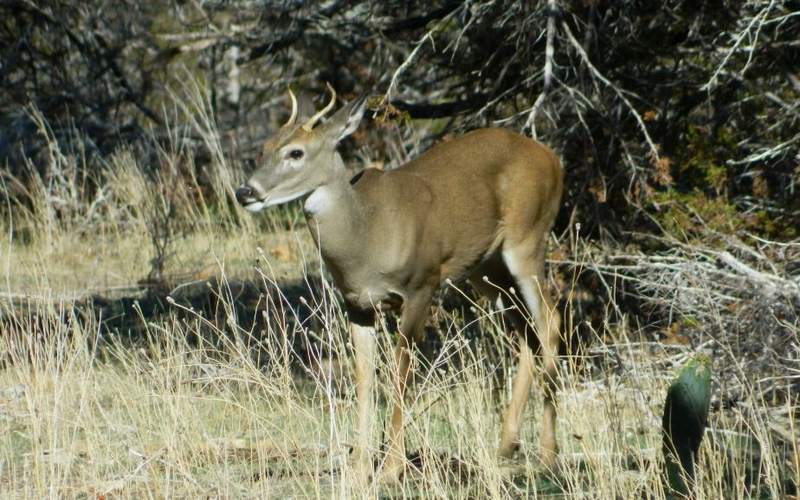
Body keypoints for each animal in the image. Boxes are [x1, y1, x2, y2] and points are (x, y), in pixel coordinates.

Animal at [236, 85, 564, 480]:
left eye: (296, 152)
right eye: (265, 147)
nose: (245, 192)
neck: (366, 236)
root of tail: (552, 158)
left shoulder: (422, 284)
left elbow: (400, 374)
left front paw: (391, 468)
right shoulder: (357, 303)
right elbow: (364, 378)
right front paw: (360, 467)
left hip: (527, 238)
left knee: (550, 320)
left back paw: (548, 454)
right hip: (486, 267)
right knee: (526, 331)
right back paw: (507, 444)